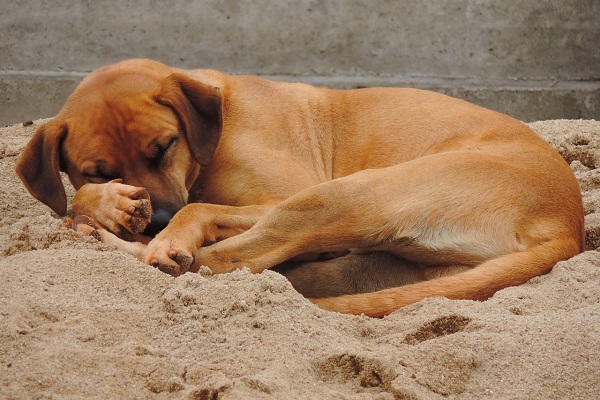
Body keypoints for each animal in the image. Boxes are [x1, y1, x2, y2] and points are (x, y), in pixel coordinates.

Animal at [16, 58, 584, 316]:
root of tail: (569, 227)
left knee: (220, 262)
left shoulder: (280, 193)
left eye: (166, 146)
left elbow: (198, 209)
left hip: (345, 195)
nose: (155, 221)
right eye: (96, 169)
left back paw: (143, 246)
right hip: (388, 262)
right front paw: (108, 204)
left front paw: (165, 233)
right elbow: (77, 195)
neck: (216, 125)